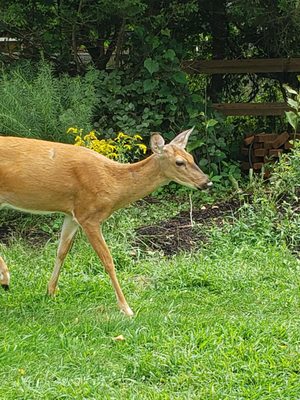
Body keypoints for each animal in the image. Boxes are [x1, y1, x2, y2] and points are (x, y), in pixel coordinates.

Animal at [0, 128, 211, 316]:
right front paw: (126, 308)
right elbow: (108, 260)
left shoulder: (73, 214)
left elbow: (62, 251)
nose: (206, 182)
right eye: (179, 162)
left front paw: (50, 292)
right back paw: (5, 278)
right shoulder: (89, 216)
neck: (113, 182)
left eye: (191, 157)